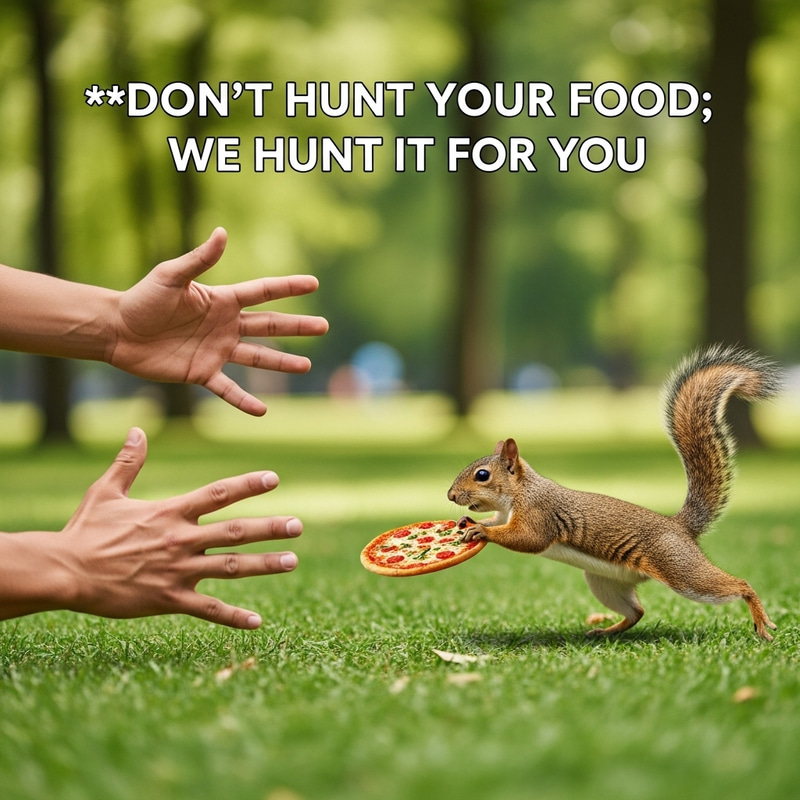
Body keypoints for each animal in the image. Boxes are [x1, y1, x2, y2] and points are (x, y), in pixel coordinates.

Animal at [447, 345, 784, 640]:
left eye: (482, 475)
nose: (451, 496)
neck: (517, 495)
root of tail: (678, 526)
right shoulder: (504, 513)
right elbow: (497, 522)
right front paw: (469, 522)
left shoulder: (539, 514)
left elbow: (527, 538)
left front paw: (482, 531)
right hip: (605, 581)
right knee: (637, 612)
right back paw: (605, 632)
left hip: (680, 568)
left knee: (735, 584)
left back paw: (759, 617)